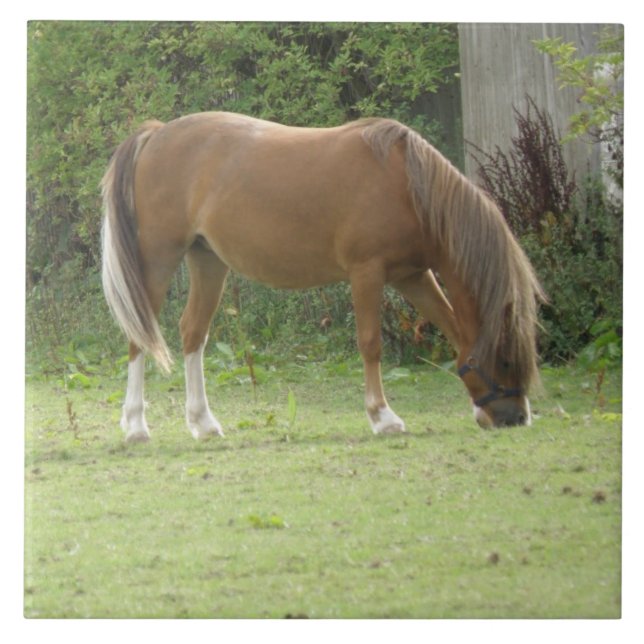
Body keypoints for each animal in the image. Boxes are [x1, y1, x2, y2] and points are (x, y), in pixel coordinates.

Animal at [101, 112, 543, 443]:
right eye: (506, 359)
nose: (515, 418)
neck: (408, 187)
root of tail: (157, 134)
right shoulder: (367, 272)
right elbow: (371, 344)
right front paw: (383, 417)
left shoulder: (414, 276)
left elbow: (452, 328)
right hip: (159, 258)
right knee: (140, 334)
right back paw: (136, 426)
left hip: (207, 260)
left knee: (193, 331)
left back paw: (203, 423)